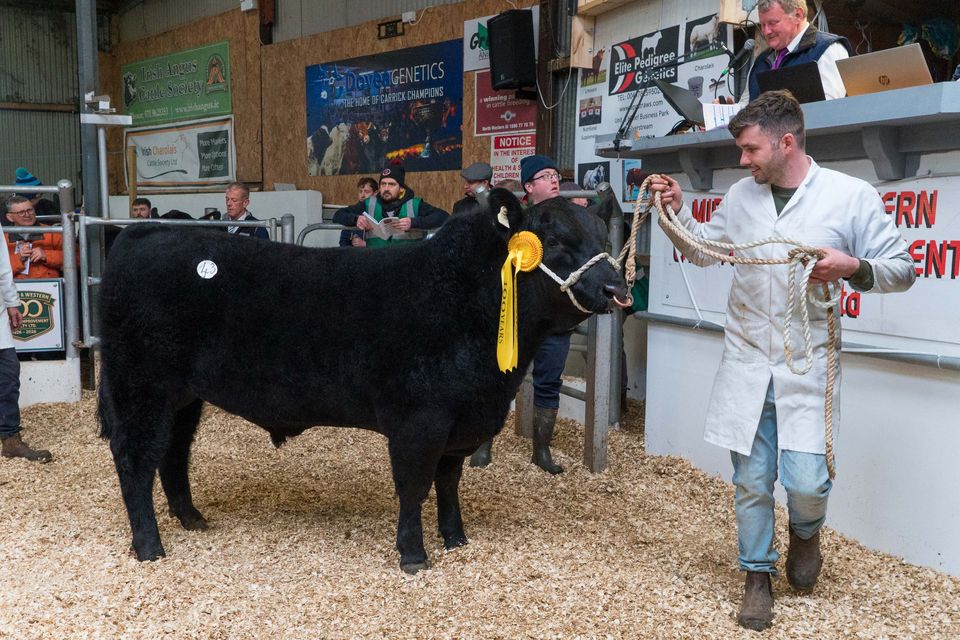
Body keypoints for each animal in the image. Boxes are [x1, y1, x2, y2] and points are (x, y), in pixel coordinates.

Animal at [97, 189, 629, 574]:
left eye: (605, 239)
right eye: (554, 241)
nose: (615, 288)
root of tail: (140, 233)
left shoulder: (460, 420)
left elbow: (449, 480)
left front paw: (456, 538)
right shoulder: (419, 421)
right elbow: (415, 485)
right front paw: (414, 555)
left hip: (183, 395)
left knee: (173, 452)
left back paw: (191, 518)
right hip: (141, 387)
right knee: (135, 459)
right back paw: (149, 545)